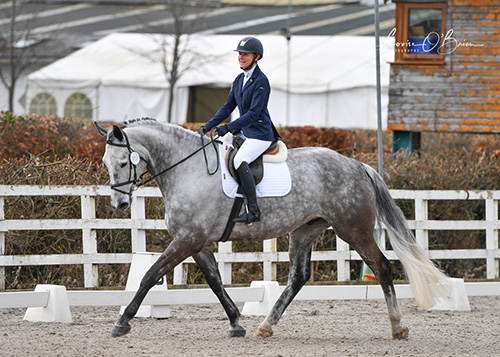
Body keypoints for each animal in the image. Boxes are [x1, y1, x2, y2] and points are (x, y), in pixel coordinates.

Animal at [95, 118, 452, 338]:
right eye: (105, 163)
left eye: (124, 162)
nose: (119, 204)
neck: (188, 169)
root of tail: (357, 165)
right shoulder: (196, 242)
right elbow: (214, 281)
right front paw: (236, 323)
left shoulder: (187, 240)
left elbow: (150, 275)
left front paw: (122, 321)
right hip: (305, 230)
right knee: (298, 277)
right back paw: (266, 325)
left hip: (354, 230)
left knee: (382, 267)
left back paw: (398, 327)